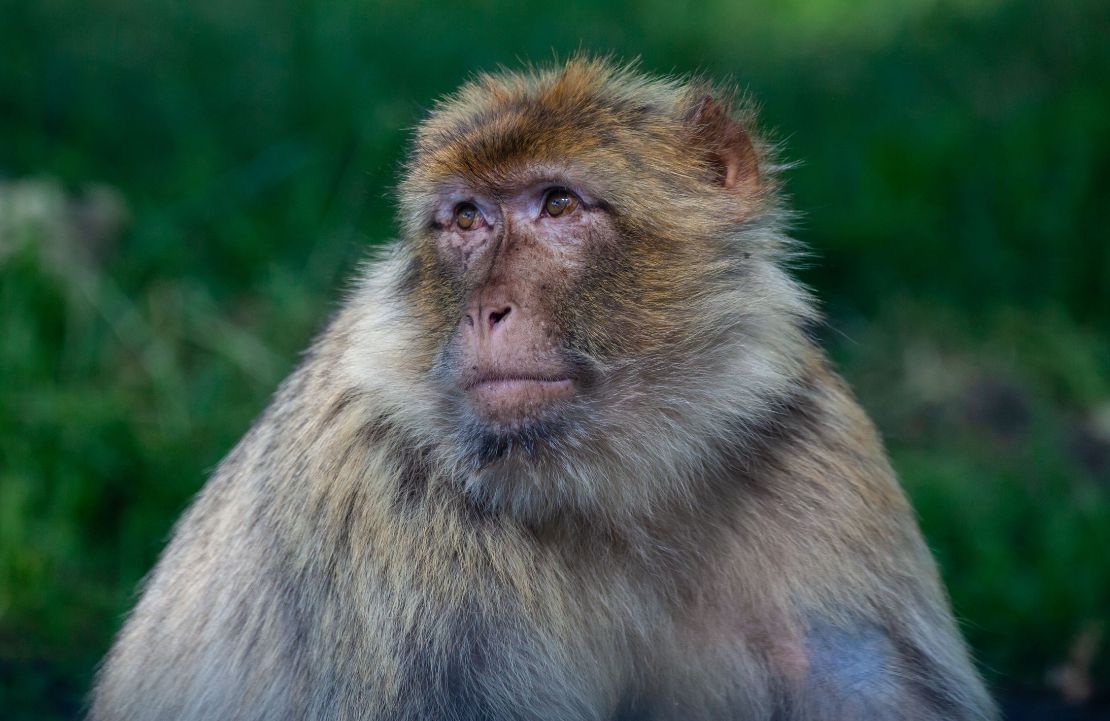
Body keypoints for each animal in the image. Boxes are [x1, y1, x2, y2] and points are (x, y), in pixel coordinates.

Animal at [89, 57, 997, 721]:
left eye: (558, 204)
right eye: (466, 219)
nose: (487, 310)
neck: (616, 491)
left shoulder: (814, 449)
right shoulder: (384, 505)